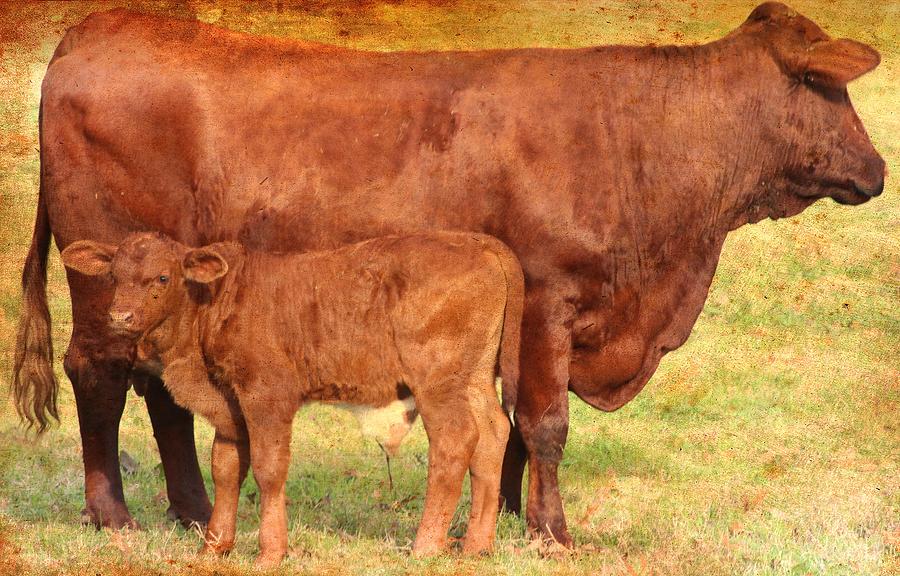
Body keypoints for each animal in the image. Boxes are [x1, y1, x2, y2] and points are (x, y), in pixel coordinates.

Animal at [59, 232, 524, 564]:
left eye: (162, 276)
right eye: (113, 276)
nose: (120, 316)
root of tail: (478, 242)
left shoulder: (267, 396)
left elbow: (268, 469)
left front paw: (270, 552)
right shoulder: (230, 404)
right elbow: (226, 467)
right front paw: (214, 547)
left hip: (437, 383)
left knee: (454, 442)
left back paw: (426, 546)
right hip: (476, 378)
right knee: (493, 434)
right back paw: (477, 545)